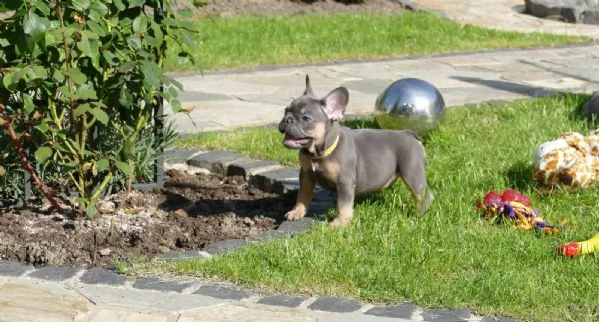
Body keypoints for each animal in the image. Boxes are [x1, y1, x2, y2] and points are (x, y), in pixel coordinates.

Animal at [278, 75, 434, 226]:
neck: (318, 153)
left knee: (424, 195)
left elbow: (343, 205)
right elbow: (302, 195)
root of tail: (408, 133)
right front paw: (297, 212)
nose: (287, 119)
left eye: (306, 118)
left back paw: (418, 216)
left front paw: (340, 223)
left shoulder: (344, 181)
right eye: (285, 111)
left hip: (411, 171)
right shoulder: (306, 175)